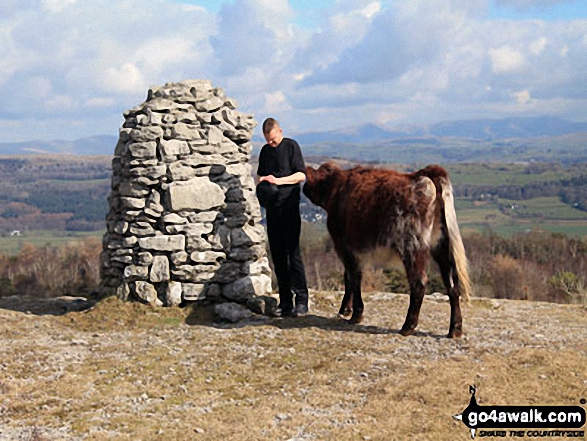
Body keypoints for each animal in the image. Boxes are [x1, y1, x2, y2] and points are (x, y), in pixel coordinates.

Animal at [304, 162, 474, 336]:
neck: (337, 188)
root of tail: (420, 174)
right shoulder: (353, 252)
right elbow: (350, 277)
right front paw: (346, 310)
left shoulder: (345, 247)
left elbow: (354, 278)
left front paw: (355, 314)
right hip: (441, 247)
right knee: (452, 285)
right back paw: (455, 329)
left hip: (411, 246)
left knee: (419, 283)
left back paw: (407, 326)